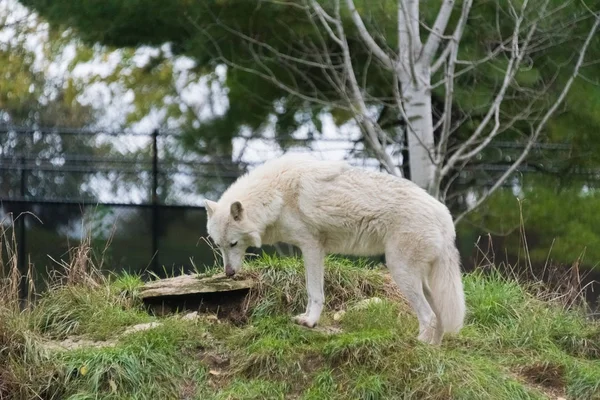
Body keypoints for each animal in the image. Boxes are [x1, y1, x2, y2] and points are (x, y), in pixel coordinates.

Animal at [207, 153, 468, 344]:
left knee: (429, 317)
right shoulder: (313, 249)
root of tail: (445, 216)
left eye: (234, 244)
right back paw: (433, 350)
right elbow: (312, 292)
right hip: (420, 279)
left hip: (400, 272)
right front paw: (306, 318)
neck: (276, 194)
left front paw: (310, 322)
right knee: (439, 317)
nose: (229, 273)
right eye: (219, 246)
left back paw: (419, 347)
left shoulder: (311, 247)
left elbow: (314, 292)